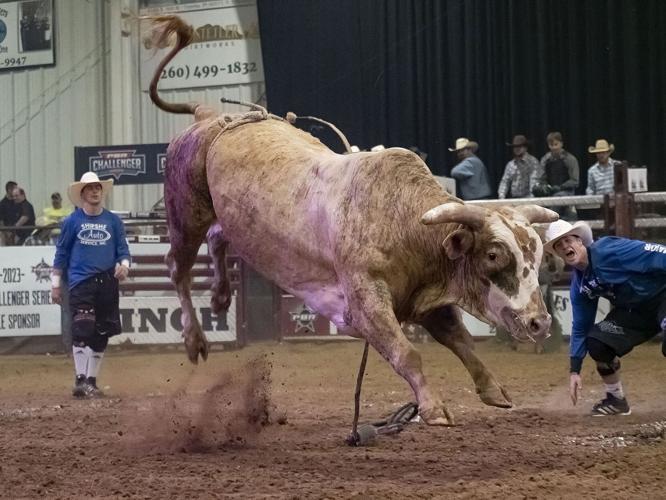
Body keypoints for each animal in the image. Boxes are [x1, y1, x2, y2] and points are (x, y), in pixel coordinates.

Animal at [146, 15, 558, 425]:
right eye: (493, 255)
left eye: (538, 256)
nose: (540, 323)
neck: (401, 221)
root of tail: (210, 117)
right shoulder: (366, 302)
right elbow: (407, 352)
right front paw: (433, 408)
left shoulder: (428, 296)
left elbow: (460, 340)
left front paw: (493, 390)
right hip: (185, 209)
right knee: (178, 266)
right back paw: (195, 339)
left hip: (222, 215)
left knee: (218, 238)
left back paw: (219, 297)